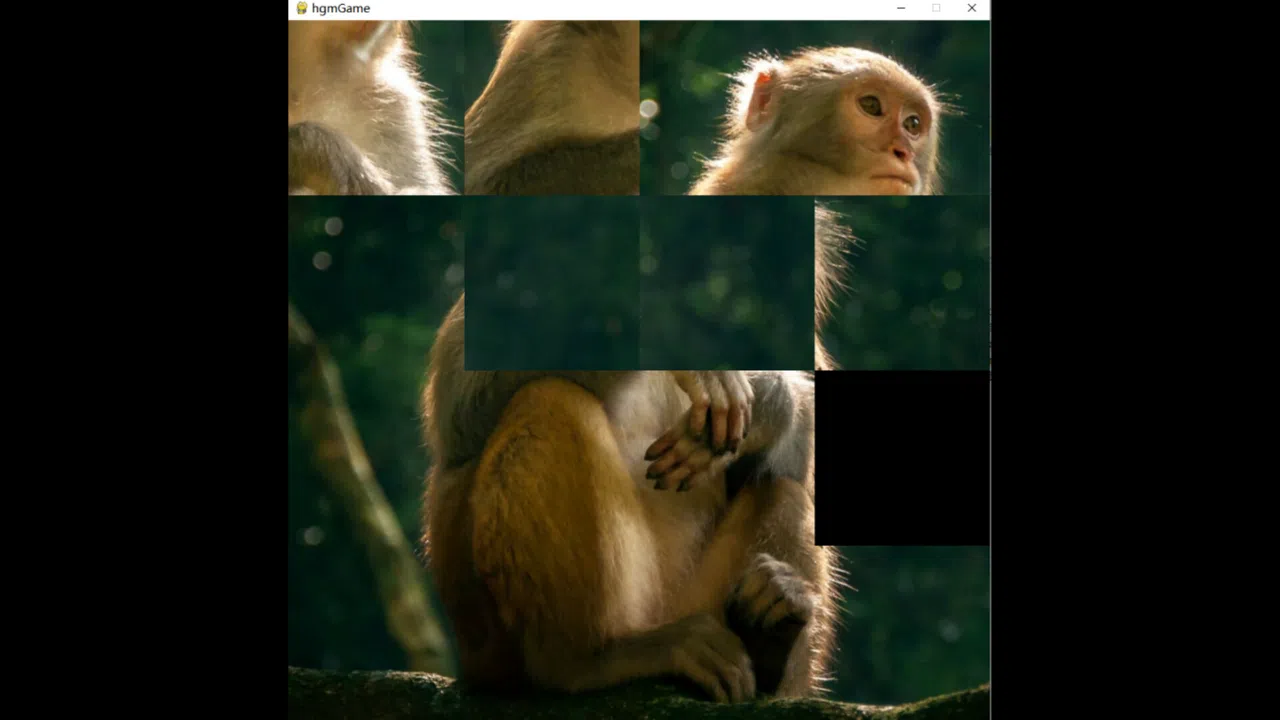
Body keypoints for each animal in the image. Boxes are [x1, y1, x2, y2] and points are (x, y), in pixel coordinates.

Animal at [420, 294, 841, 703]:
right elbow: (460, 409)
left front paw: (770, 401)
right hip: (486, 626)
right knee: (547, 397)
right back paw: (580, 662)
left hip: (692, 604)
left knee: (783, 490)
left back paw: (771, 641)